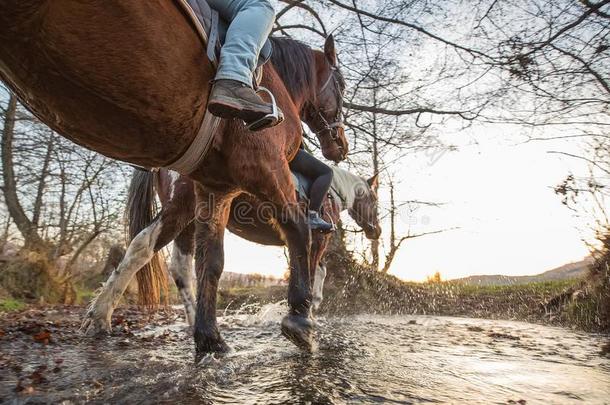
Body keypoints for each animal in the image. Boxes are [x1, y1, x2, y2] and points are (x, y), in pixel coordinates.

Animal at [0, 3, 346, 356]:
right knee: (172, 259)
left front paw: (209, 338)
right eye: (342, 86)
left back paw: (108, 316)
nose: (340, 146)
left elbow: (212, 260)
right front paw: (301, 317)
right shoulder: (266, 169)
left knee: (149, 248)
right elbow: (300, 235)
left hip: (186, 201)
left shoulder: (216, 186)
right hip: (188, 199)